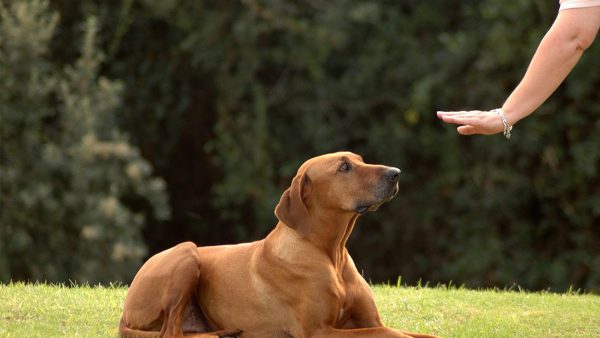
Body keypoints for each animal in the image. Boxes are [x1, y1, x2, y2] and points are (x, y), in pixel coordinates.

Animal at [119, 153, 438, 338]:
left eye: (359, 159)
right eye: (344, 167)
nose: (395, 173)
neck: (330, 254)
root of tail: (125, 313)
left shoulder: (368, 320)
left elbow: (412, 334)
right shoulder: (319, 332)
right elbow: (393, 335)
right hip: (186, 251)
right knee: (170, 333)